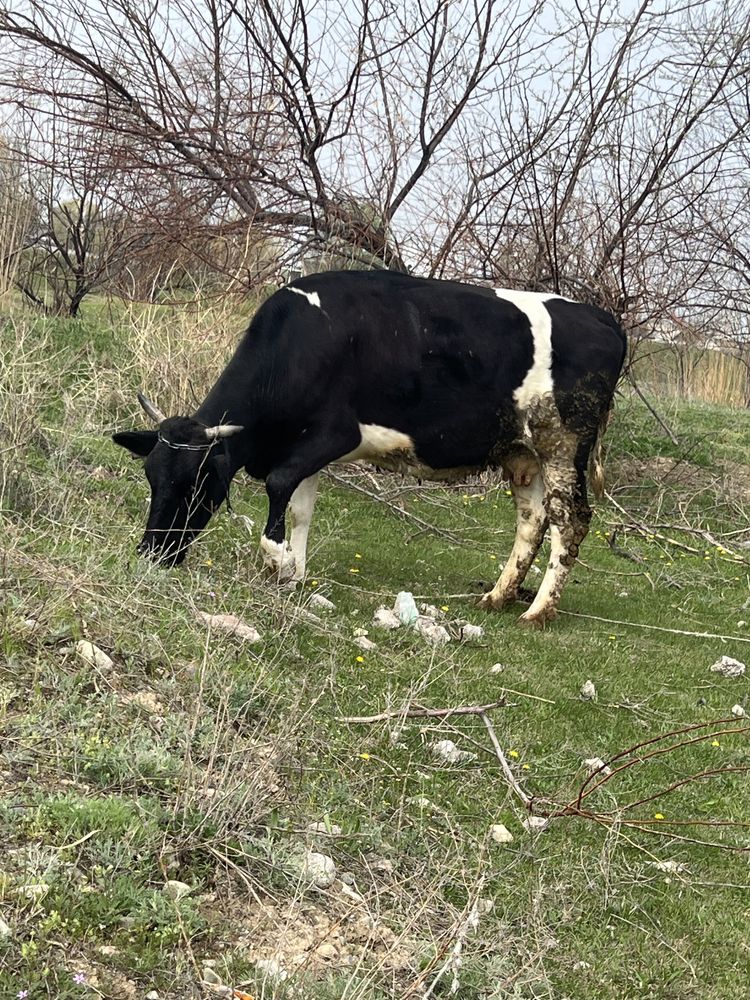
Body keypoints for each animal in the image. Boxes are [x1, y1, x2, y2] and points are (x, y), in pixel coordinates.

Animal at [113, 270, 628, 620]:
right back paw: (497, 596)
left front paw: (278, 561)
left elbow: (278, 487)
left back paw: (537, 611)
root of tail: (604, 318)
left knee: (571, 520)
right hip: (523, 451)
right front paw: (294, 572)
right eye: (151, 478)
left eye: (194, 484)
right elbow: (300, 508)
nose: (151, 553)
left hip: (563, 443)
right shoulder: (304, 447)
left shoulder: (334, 435)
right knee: (533, 519)